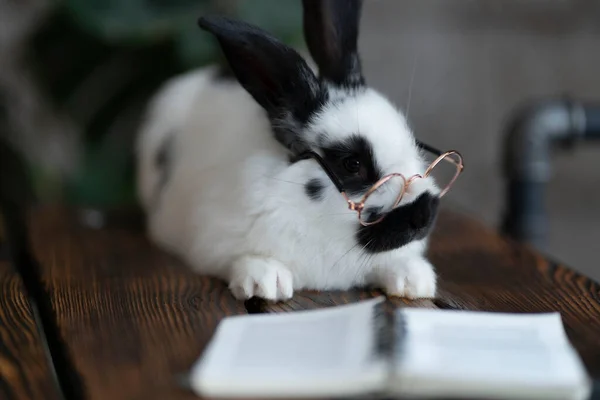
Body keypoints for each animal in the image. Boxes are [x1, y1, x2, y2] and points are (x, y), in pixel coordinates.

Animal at [137, 0, 446, 300]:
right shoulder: (214, 243)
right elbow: (241, 259)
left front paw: (414, 280)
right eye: (352, 164)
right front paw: (266, 281)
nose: (424, 215)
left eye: (411, 141)